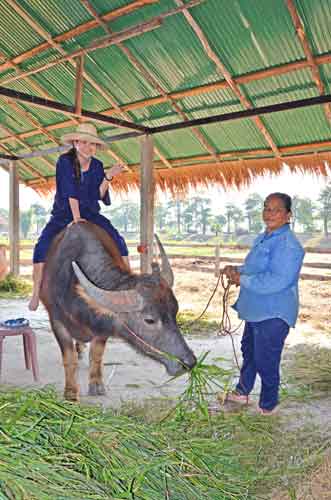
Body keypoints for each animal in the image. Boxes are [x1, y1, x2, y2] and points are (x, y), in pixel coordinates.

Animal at [41, 223, 197, 402]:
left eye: (175, 312)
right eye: (149, 320)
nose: (189, 362)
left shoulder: (102, 331)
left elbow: (96, 355)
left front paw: (96, 385)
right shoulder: (56, 322)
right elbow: (69, 357)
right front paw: (71, 393)